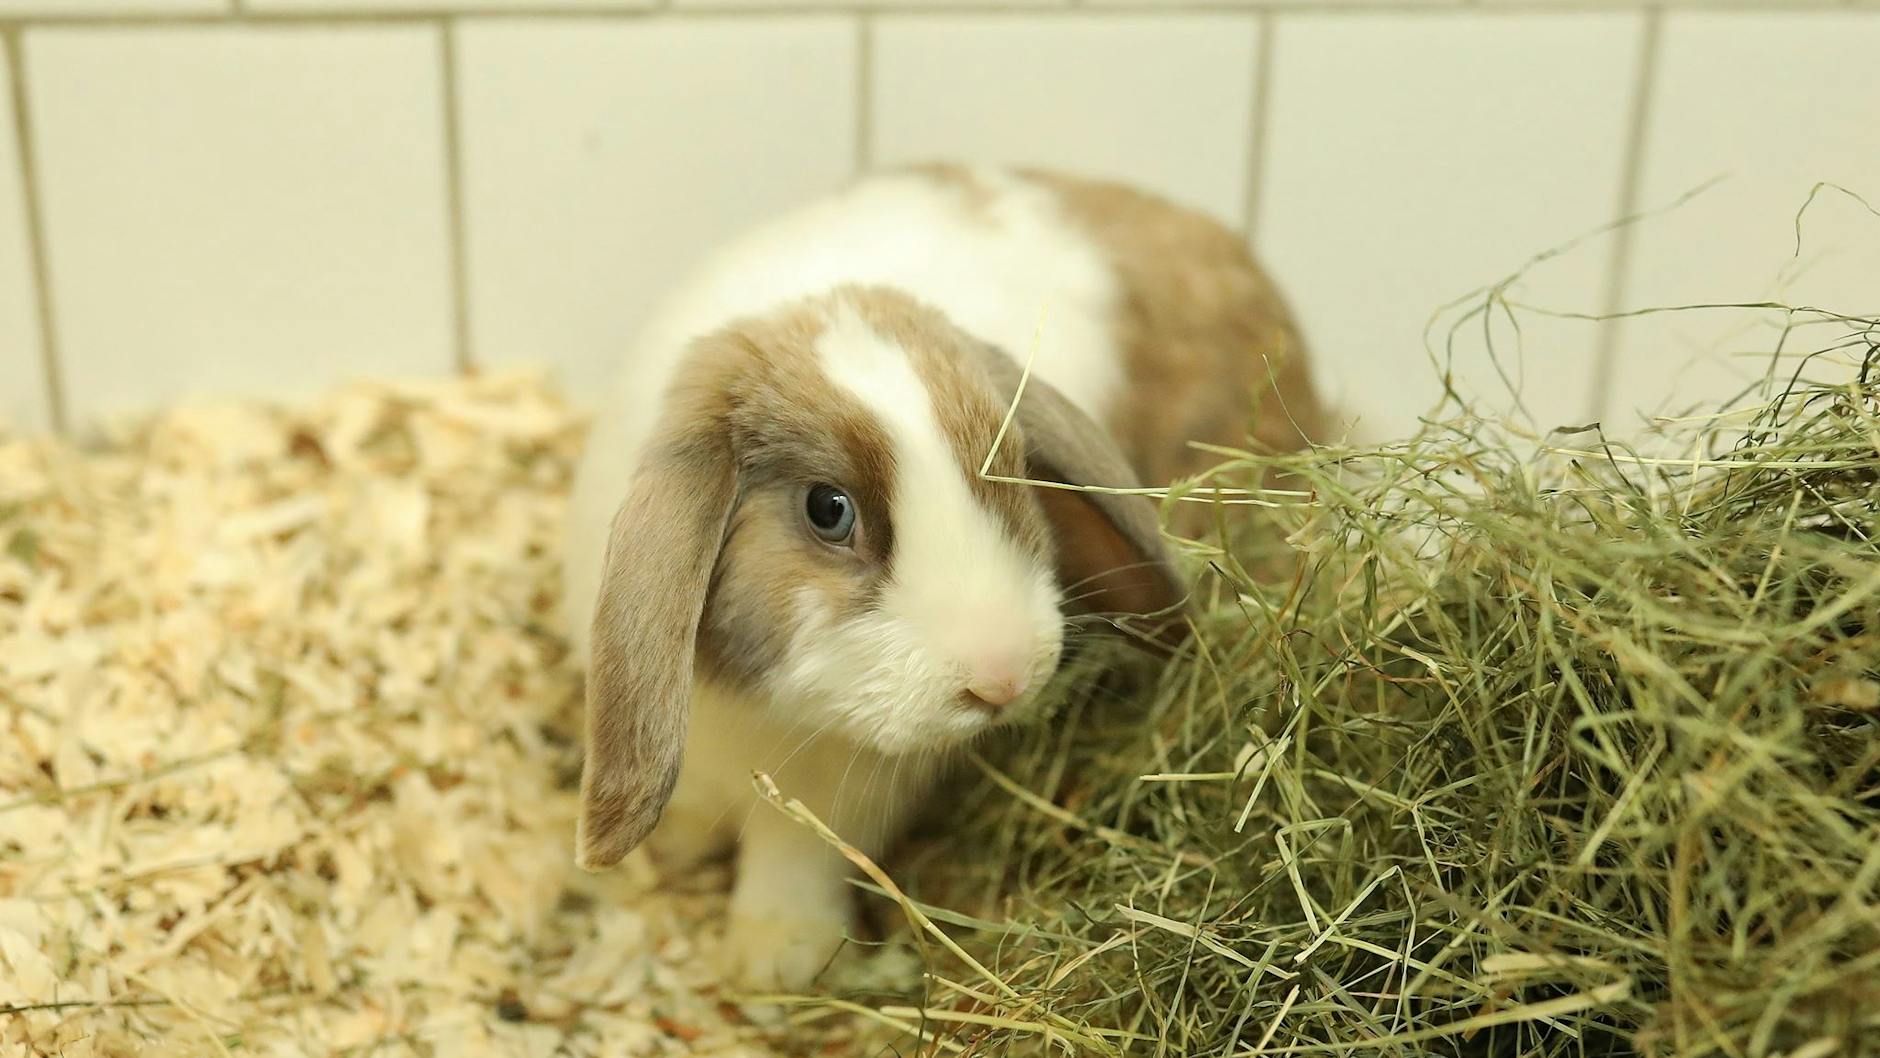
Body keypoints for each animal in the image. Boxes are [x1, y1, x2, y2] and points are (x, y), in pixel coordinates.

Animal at [561, 163, 1323, 991]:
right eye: (828, 509)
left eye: (1015, 470)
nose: (1004, 678)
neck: (760, 710)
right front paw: (676, 856)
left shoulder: (834, 804)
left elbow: (794, 861)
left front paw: (778, 962)